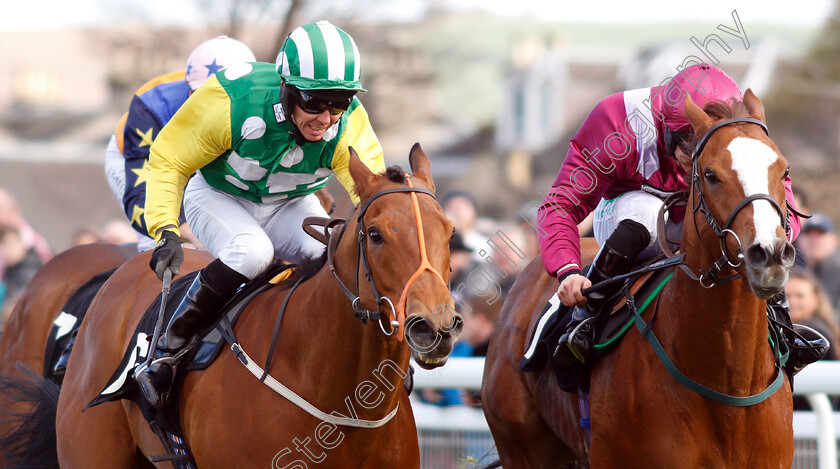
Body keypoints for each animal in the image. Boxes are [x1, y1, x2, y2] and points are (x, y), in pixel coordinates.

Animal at [482, 89, 796, 466]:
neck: (728, 389)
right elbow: (565, 200)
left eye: (784, 169)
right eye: (710, 174)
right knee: (634, 226)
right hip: (520, 445)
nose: (770, 254)